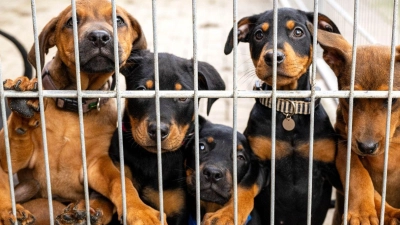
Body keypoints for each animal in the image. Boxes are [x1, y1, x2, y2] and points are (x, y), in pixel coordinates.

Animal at [0, 0, 166, 225]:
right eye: (71, 22)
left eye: (118, 20)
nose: (99, 37)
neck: (74, 105)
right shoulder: (14, 159)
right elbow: (14, 141)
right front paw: (23, 100)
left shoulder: (97, 163)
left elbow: (120, 182)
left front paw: (141, 211)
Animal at [108, 49, 228, 225]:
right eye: (141, 90)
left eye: (183, 97)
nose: (158, 130)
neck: (151, 159)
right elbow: (124, 183)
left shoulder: (177, 209)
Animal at [208, 7, 342, 225]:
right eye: (258, 35)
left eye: (298, 32)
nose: (273, 57)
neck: (288, 108)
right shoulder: (258, 164)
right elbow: (243, 189)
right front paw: (225, 215)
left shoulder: (329, 163)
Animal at [310, 23, 400, 224]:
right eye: (350, 99)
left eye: (392, 100)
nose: (367, 147)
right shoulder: (344, 142)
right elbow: (358, 174)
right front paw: (362, 212)